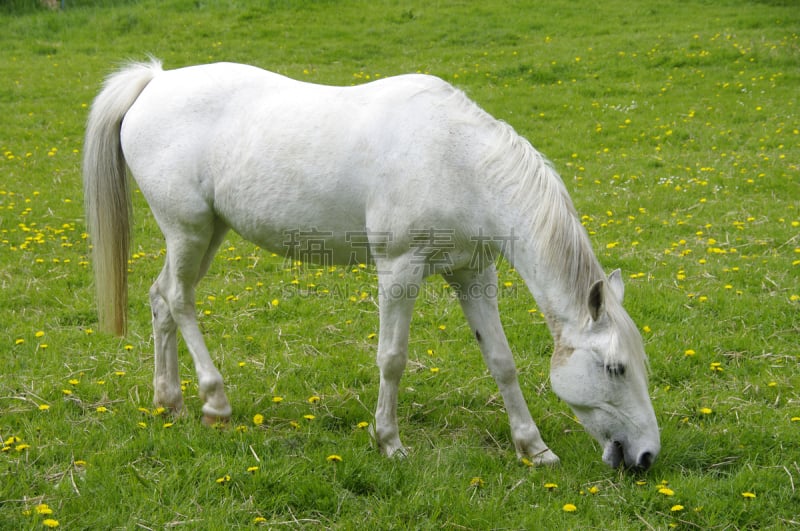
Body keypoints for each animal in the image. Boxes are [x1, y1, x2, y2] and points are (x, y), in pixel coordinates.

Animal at [84, 59, 664, 470]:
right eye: (615, 367)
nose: (645, 457)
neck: (459, 160)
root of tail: (154, 82)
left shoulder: (472, 273)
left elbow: (501, 361)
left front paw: (533, 448)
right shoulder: (399, 270)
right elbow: (392, 359)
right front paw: (389, 443)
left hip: (207, 233)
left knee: (161, 299)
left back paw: (170, 402)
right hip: (189, 231)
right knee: (178, 300)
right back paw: (214, 402)